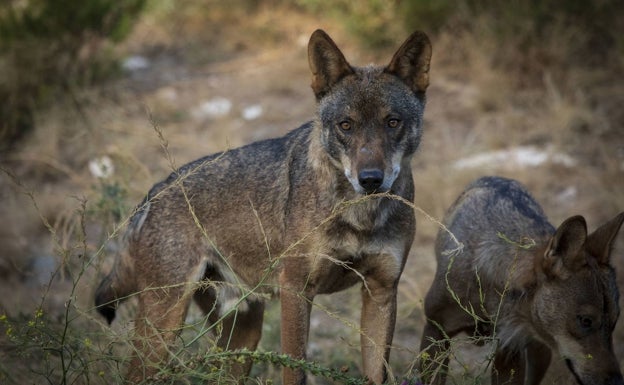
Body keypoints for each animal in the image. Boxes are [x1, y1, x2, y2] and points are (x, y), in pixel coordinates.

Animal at [95, 28, 432, 382]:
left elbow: (377, 373)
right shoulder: (296, 290)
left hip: (242, 333)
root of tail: (152, 193)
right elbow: (294, 370)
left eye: (392, 122)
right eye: (346, 125)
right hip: (165, 328)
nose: (370, 179)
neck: (361, 216)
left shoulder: (382, 291)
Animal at [420, 176, 624, 384]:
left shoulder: (510, 350)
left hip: (537, 353)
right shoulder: (435, 331)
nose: (617, 381)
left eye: (614, 322)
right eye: (586, 321)